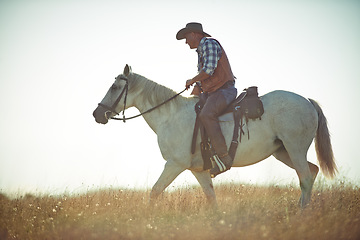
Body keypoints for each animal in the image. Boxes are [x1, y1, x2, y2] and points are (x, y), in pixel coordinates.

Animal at [93, 64, 338, 207]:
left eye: (114, 87)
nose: (97, 114)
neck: (170, 116)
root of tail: (307, 101)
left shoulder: (174, 164)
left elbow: (155, 192)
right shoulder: (198, 170)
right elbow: (211, 198)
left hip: (295, 148)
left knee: (305, 177)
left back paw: (301, 214)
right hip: (282, 152)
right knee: (311, 172)